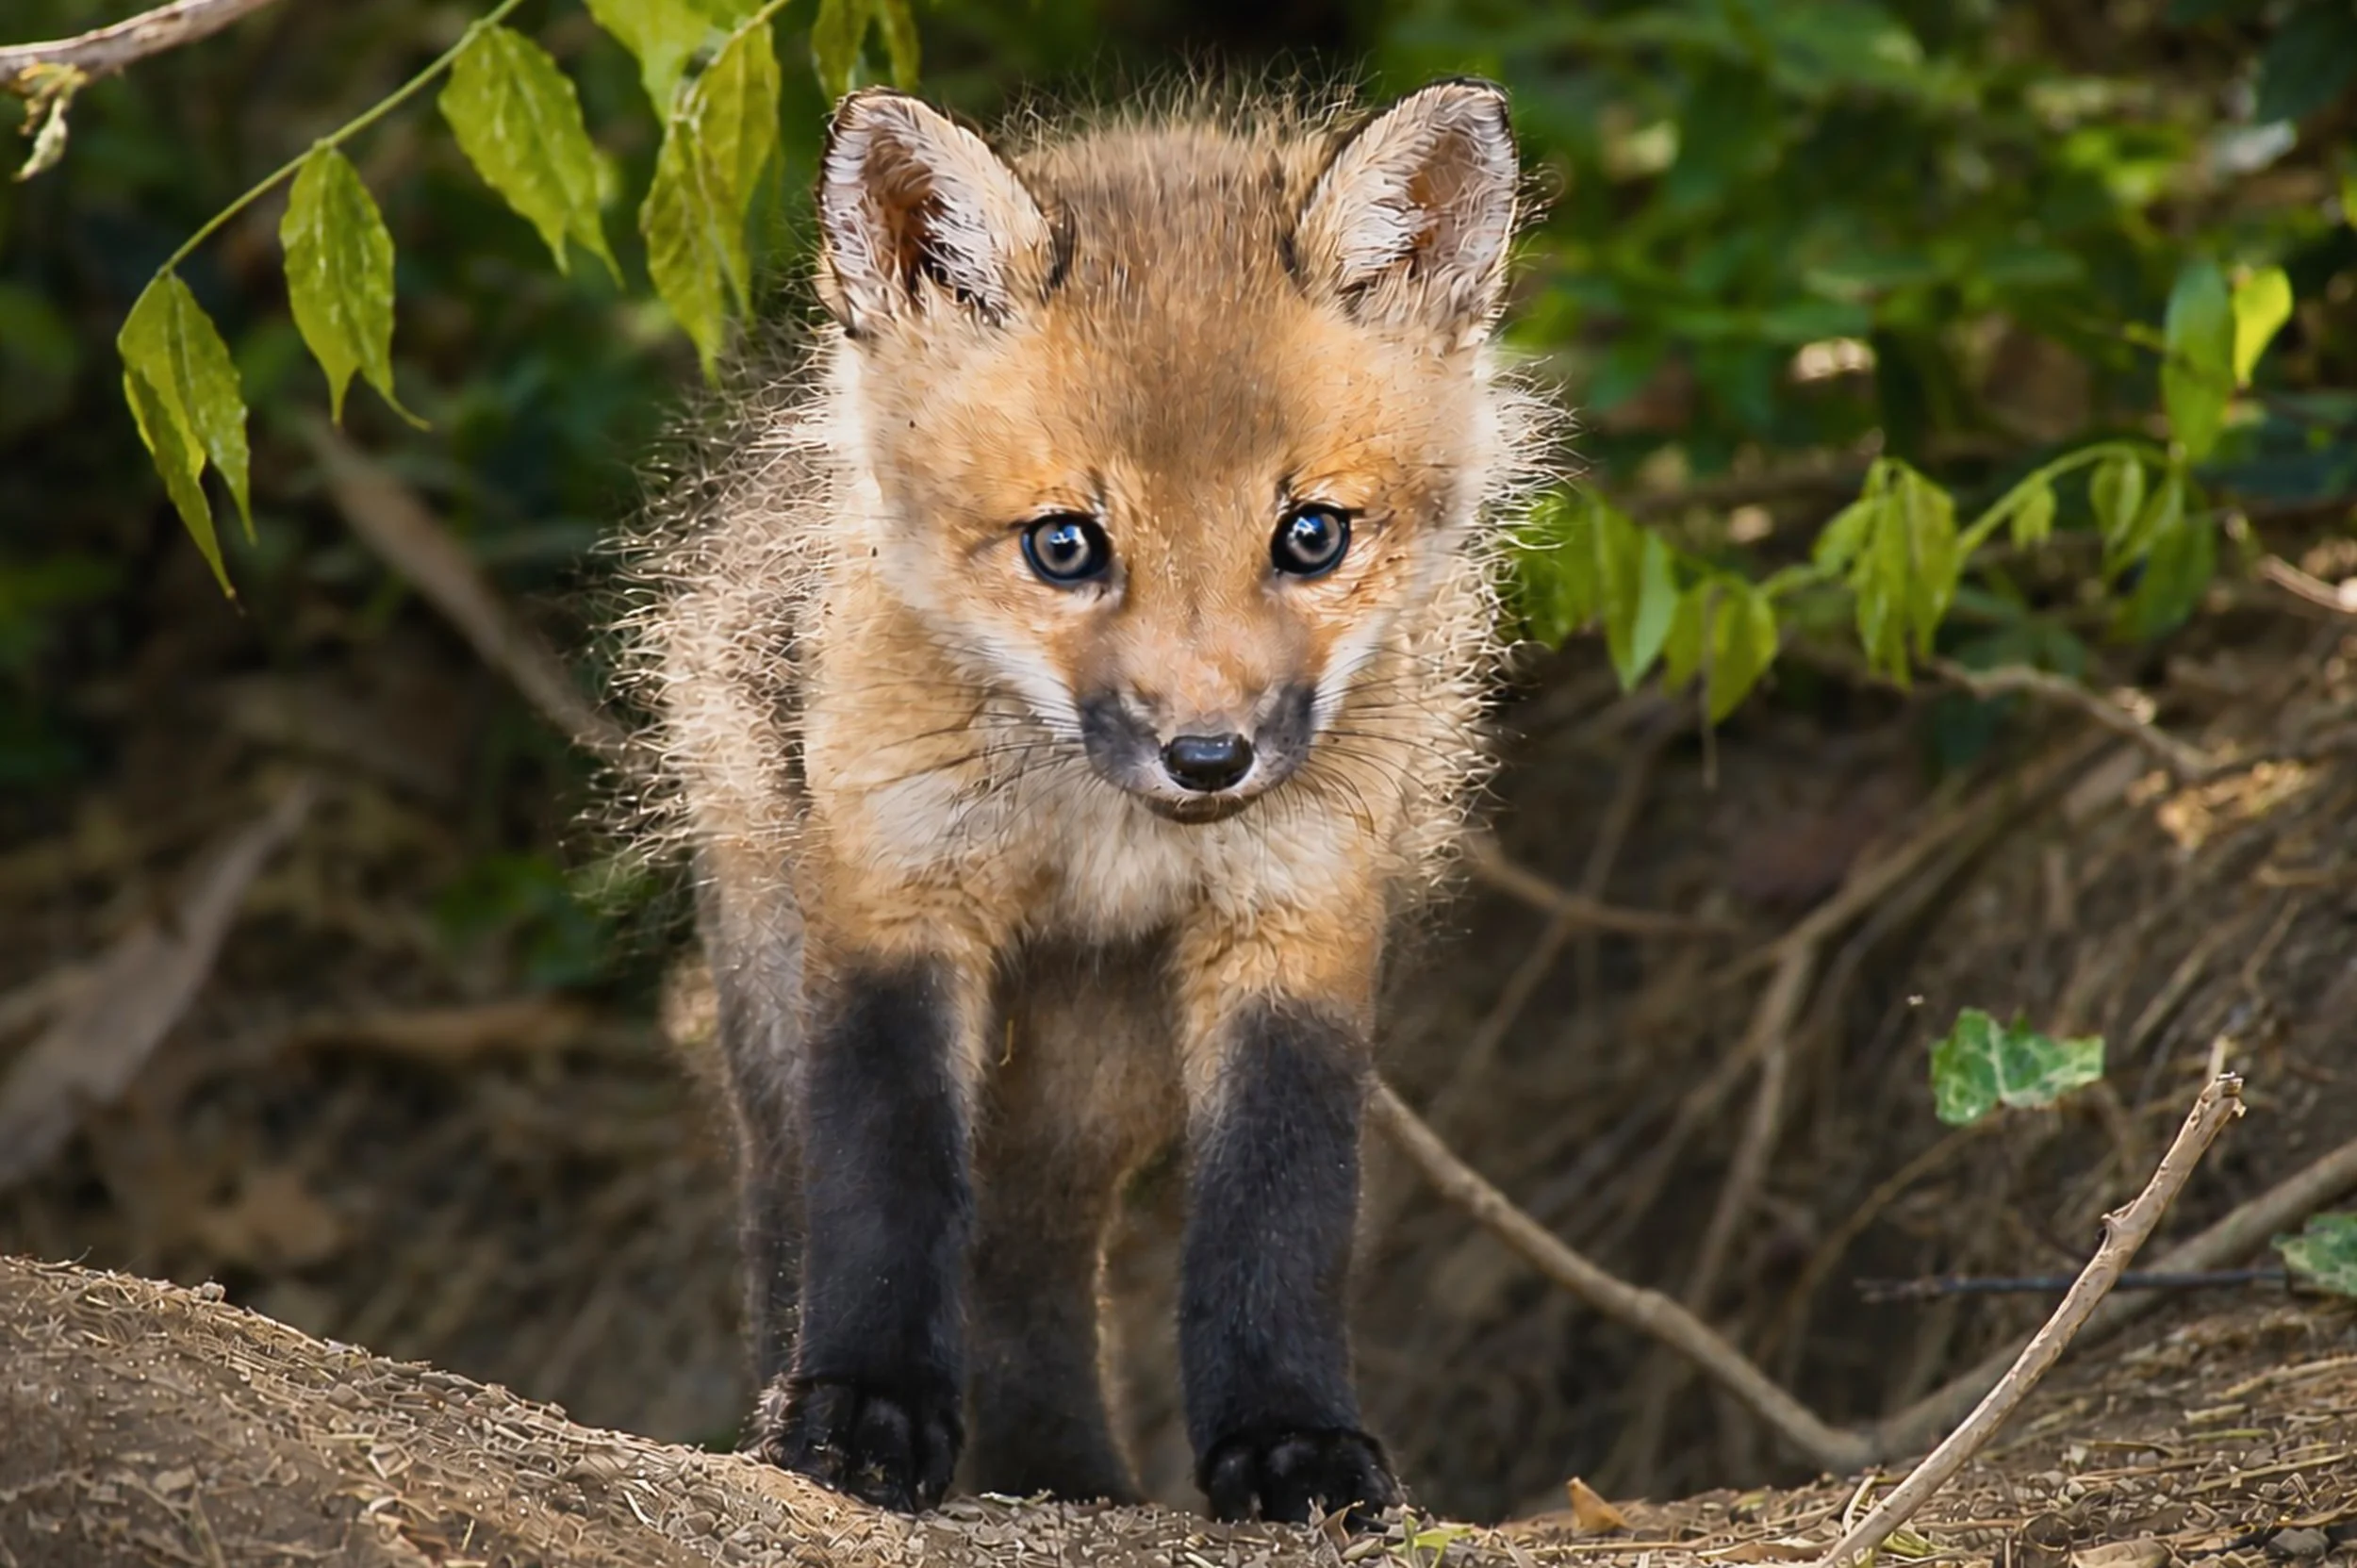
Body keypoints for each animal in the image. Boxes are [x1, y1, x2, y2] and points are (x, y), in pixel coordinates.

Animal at [628, 78, 1547, 1526]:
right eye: (1065, 545)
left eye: (1312, 535)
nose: (1209, 756)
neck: (1097, 831)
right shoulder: (895, 900)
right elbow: (882, 1183)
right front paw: (864, 1406)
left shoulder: (1298, 921)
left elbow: (1281, 1211)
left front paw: (1290, 1439)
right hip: (780, 974)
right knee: (794, 1204)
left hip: (1096, 1069)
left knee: (1028, 1254)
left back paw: (1072, 1477)